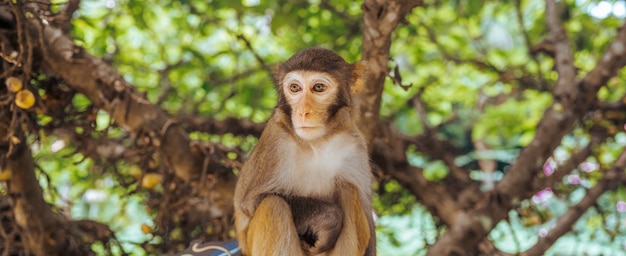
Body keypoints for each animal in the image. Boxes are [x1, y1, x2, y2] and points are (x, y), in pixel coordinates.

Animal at [233, 46, 372, 256]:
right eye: (295, 88)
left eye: (319, 88)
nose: (303, 112)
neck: (315, 143)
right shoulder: (274, 142)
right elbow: (249, 204)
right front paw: (328, 220)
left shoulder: (355, 146)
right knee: (273, 205)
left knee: (349, 189)